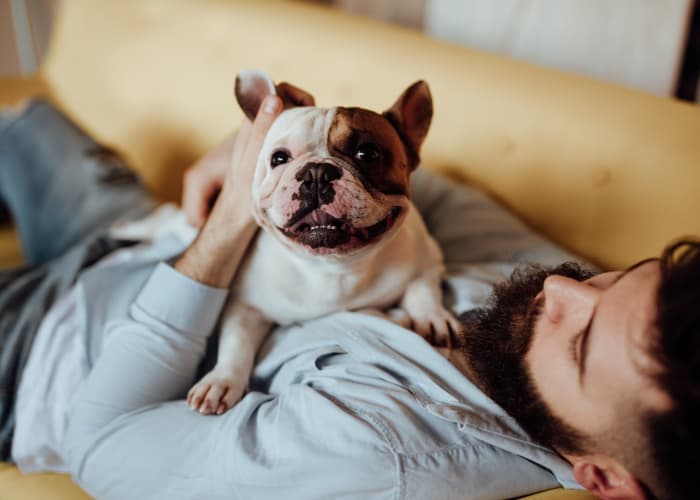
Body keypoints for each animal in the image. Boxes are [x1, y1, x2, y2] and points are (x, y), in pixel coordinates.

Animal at [180, 70, 460, 414]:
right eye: (279, 158)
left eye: (368, 153)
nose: (316, 172)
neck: (333, 267)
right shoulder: (245, 305)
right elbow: (236, 343)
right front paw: (221, 380)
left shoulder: (427, 258)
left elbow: (423, 287)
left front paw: (432, 318)